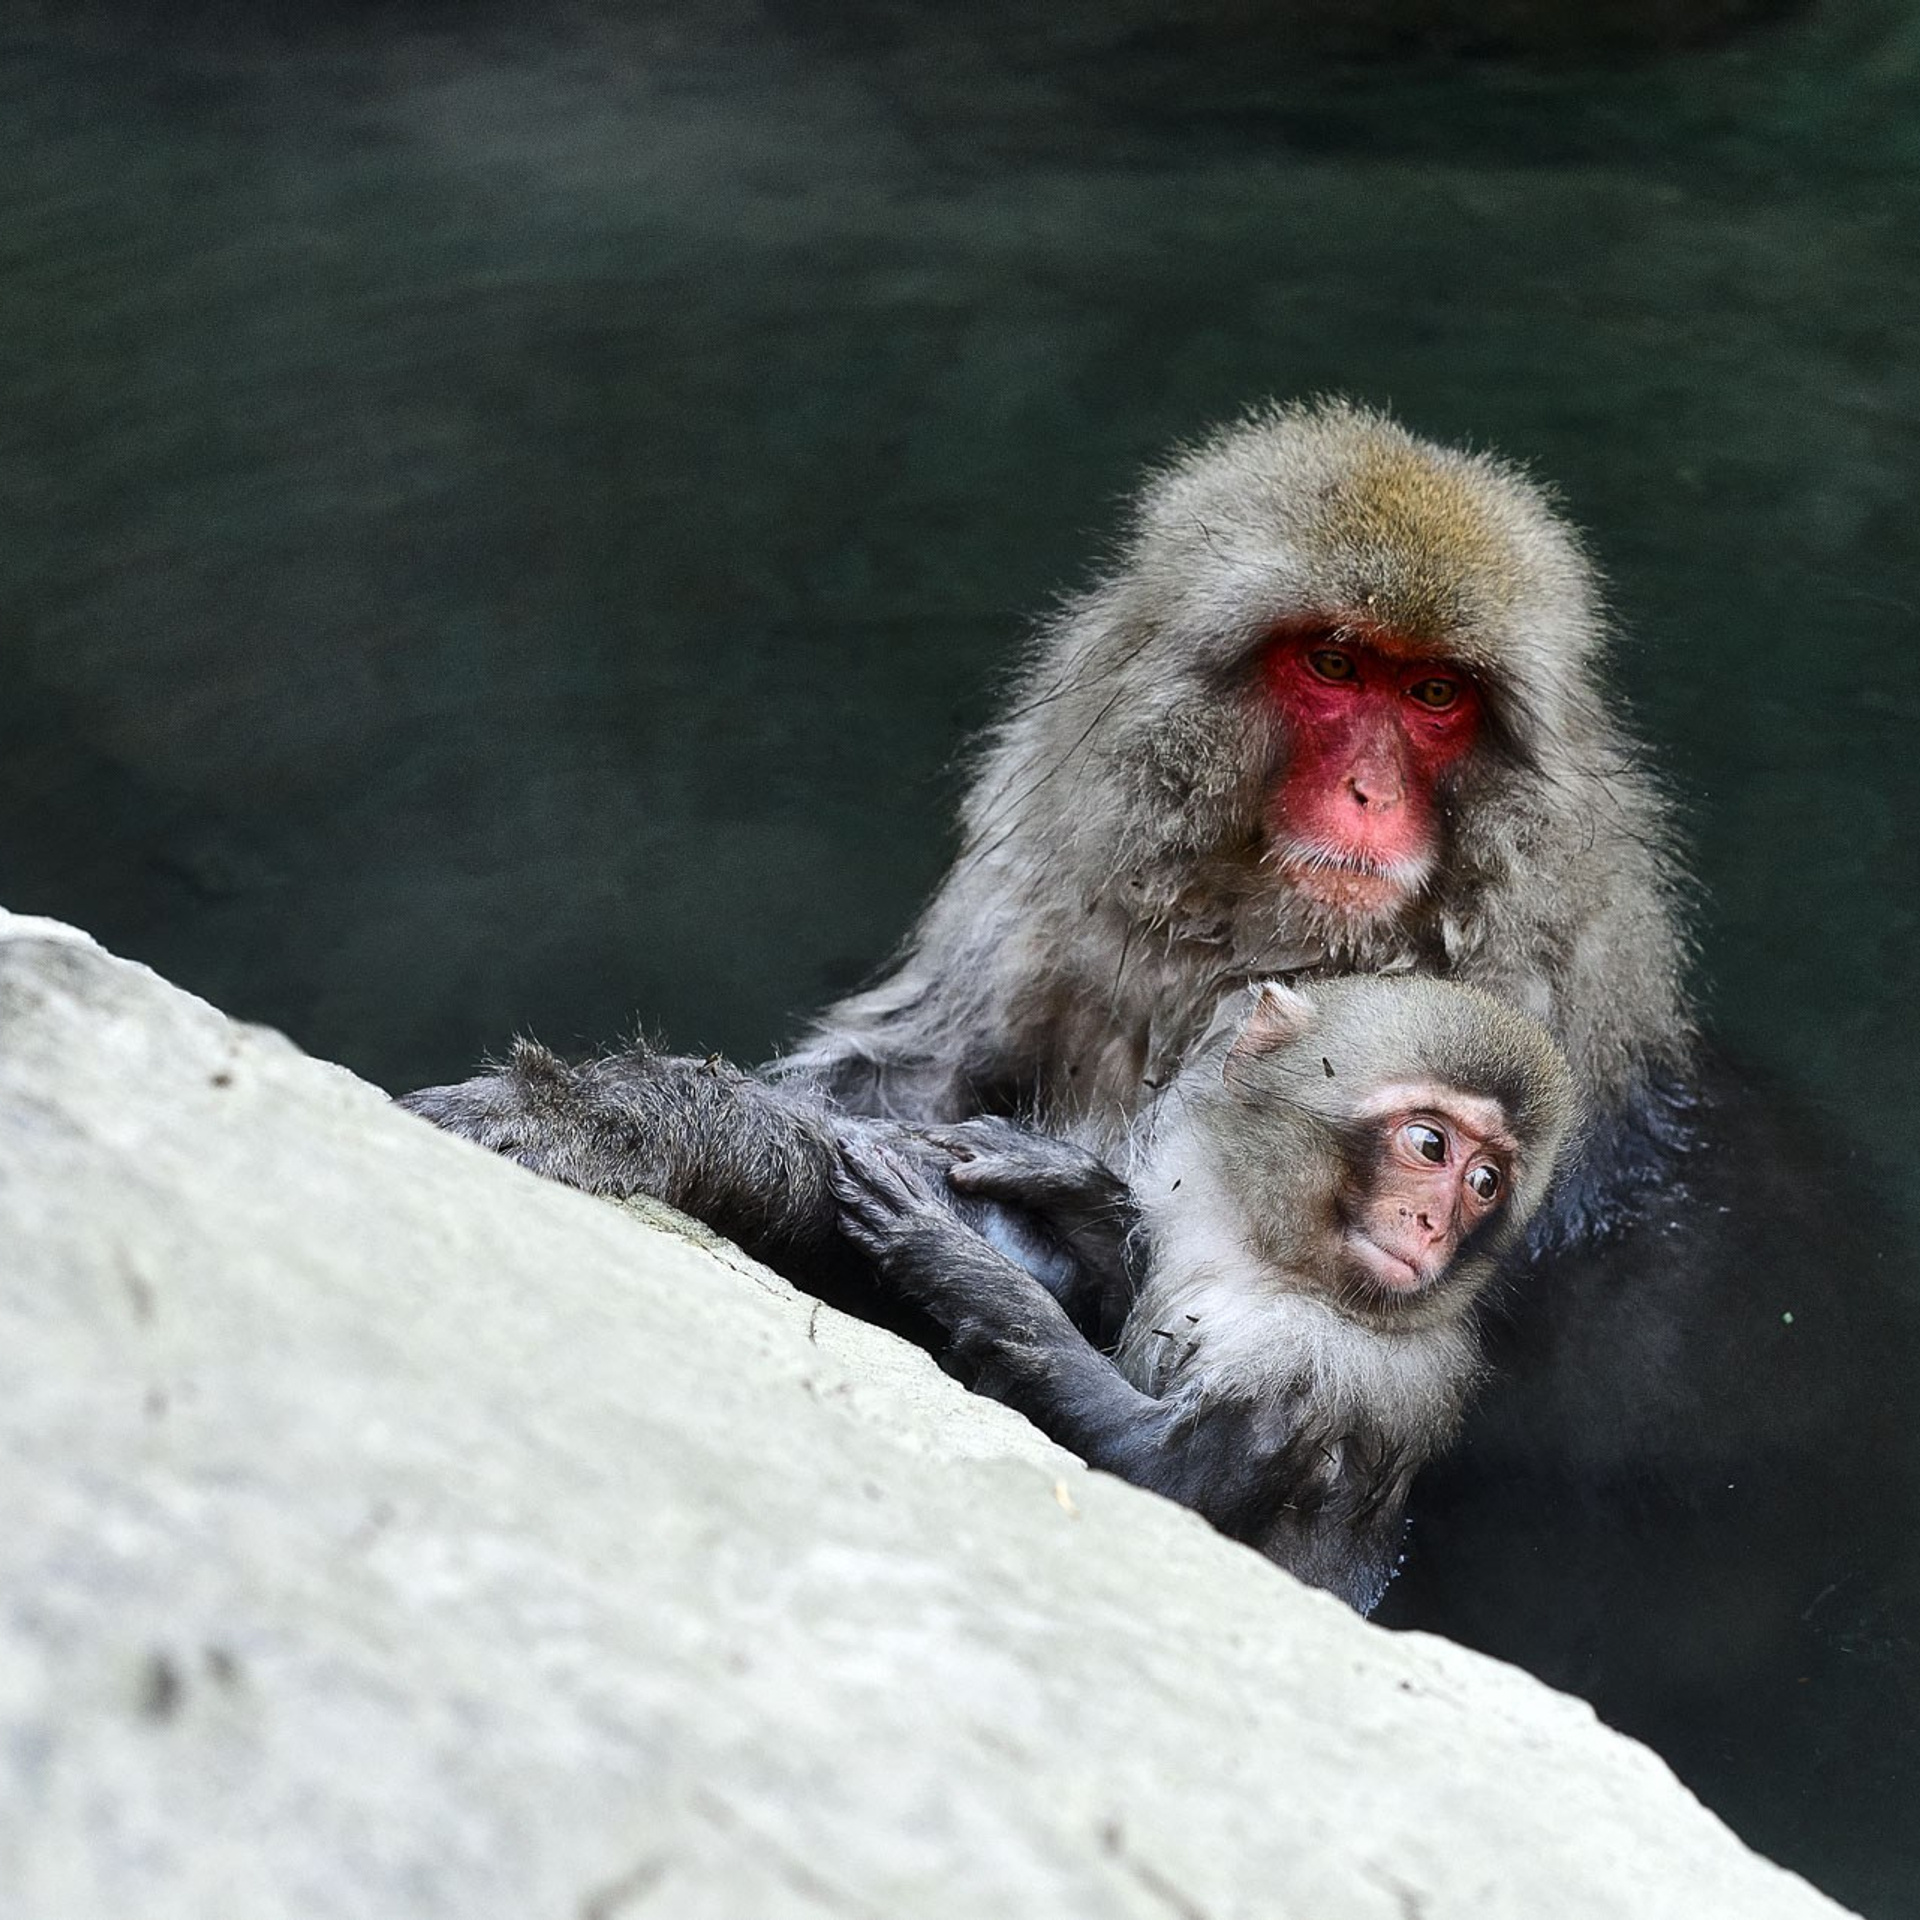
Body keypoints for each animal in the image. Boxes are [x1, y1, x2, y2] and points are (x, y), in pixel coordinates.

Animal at [407, 974, 1575, 1612]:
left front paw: (962, 1265)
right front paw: (1063, 1183)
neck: (1267, 1258)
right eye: (1432, 1146)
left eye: (1488, 1182)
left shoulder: (1334, 1369)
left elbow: (1167, 1487)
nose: (1434, 1227)